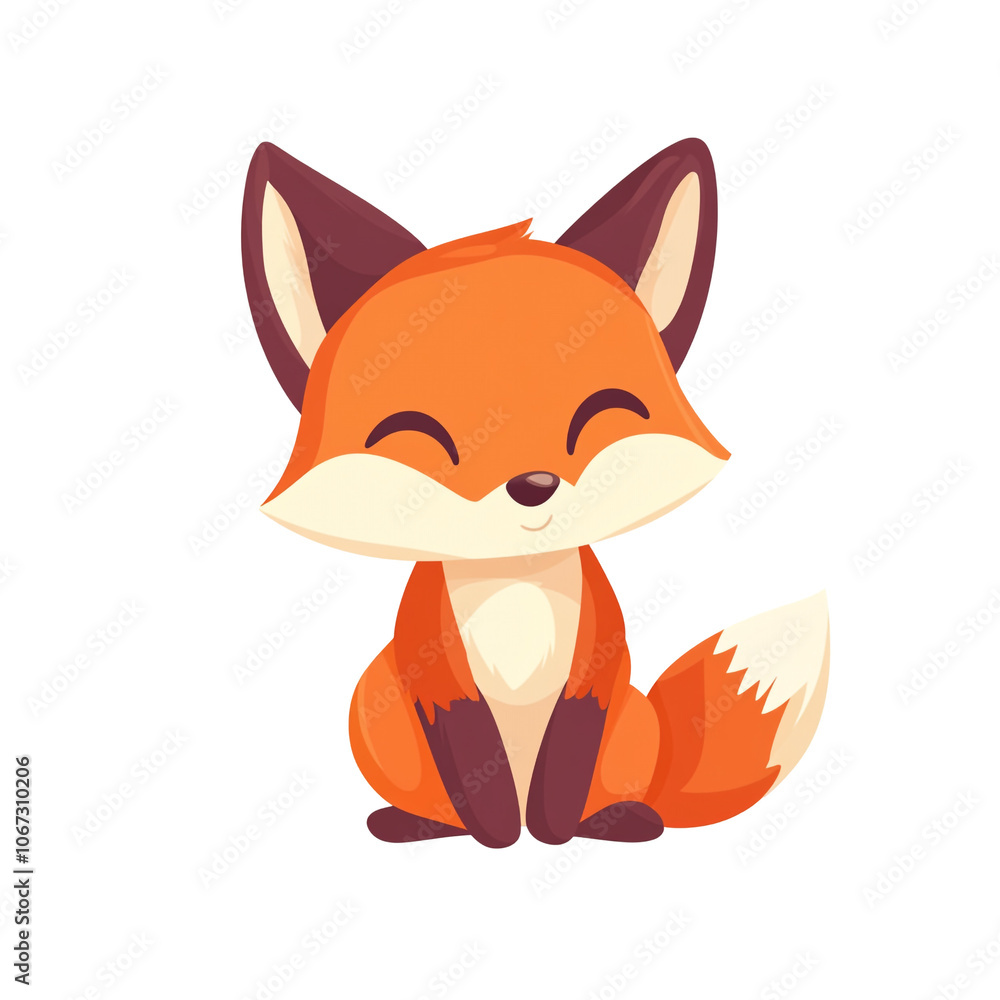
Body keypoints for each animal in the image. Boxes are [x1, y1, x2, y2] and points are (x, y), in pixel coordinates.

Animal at [239, 137, 830, 847]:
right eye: (422, 435)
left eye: (599, 414)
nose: (534, 486)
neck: (515, 589)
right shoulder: (433, 671)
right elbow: (476, 765)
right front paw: (499, 835)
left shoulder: (597, 666)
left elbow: (566, 757)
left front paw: (550, 832)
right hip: (374, 712)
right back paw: (415, 824)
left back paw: (621, 819)